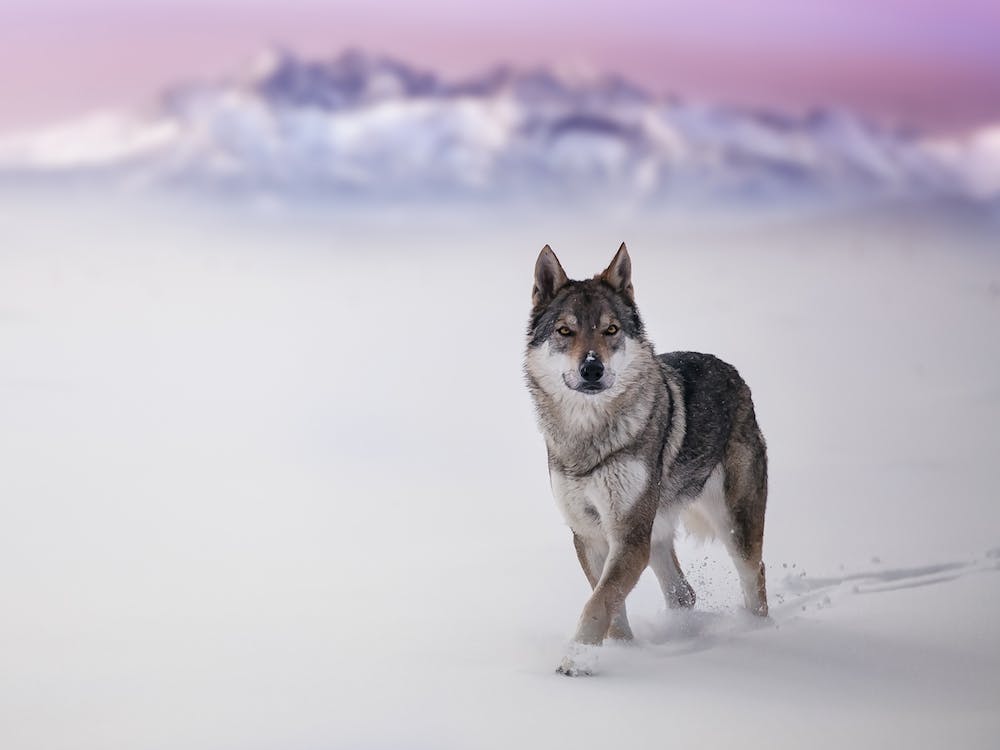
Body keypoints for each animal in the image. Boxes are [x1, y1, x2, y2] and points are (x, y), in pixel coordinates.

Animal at [524, 243, 768, 675]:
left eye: (611, 330)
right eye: (565, 331)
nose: (592, 368)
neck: (589, 437)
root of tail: (733, 372)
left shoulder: (628, 536)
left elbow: (598, 603)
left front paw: (574, 662)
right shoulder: (590, 535)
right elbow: (610, 606)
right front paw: (622, 652)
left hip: (731, 527)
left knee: (754, 574)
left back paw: (759, 634)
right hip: (656, 535)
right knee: (685, 593)